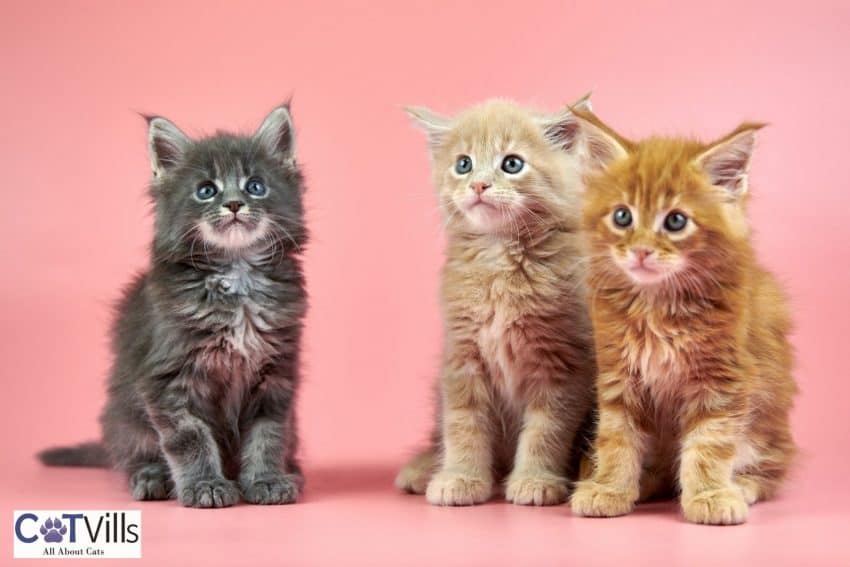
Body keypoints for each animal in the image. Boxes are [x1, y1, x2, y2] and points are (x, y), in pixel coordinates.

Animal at [38, 104, 308, 508]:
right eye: (206, 191)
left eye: (255, 186)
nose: (233, 204)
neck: (237, 273)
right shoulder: (167, 378)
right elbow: (189, 437)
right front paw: (205, 486)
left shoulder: (276, 376)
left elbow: (268, 435)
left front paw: (267, 479)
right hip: (125, 416)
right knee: (135, 454)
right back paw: (150, 478)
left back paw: (294, 472)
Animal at [396, 96, 596, 506]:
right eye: (463, 164)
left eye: (512, 164)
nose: (478, 184)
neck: (499, 258)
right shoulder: (461, 357)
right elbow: (462, 425)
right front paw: (460, 478)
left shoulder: (563, 363)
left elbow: (547, 429)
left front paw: (535, 480)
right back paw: (424, 468)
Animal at [568, 108, 796, 524]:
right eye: (622, 217)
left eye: (675, 221)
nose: (641, 251)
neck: (656, 305)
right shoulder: (618, 374)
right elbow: (617, 437)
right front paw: (609, 488)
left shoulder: (723, 378)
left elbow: (709, 443)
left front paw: (709, 495)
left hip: (768, 420)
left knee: (773, 466)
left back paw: (743, 484)